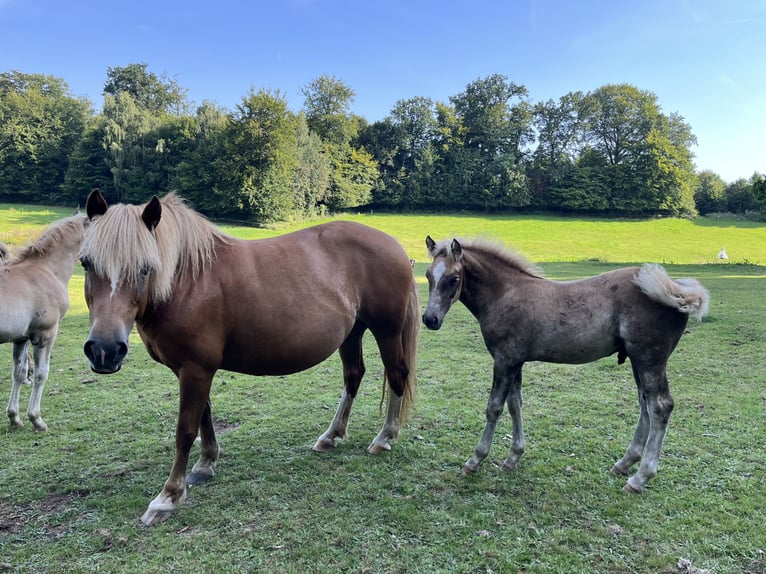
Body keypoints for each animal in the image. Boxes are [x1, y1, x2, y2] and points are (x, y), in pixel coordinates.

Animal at [0, 212, 88, 432]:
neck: (47, 270)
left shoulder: (21, 337)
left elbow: (20, 373)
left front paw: (14, 417)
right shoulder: (45, 334)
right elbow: (41, 374)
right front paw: (36, 419)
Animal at [81, 190, 420, 528]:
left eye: (145, 267)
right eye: (86, 263)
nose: (104, 350)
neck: (188, 280)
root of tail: (394, 246)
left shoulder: (195, 369)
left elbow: (185, 429)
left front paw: (168, 497)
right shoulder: (193, 369)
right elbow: (204, 415)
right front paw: (205, 465)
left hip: (387, 332)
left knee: (396, 375)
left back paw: (384, 437)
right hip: (352, 333)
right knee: (354, 376)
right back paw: (331, 436)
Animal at [424, 237, 712, 496]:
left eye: (454, 278)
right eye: (427, 275)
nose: (430, 319)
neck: (505, 293)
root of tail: (676, 291)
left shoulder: (504, 360)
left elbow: (494, 408)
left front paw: (475, 460)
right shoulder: (515, 361)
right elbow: (515, 405)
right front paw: (513, 458)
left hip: (649, 360)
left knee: (660, 406)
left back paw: (639, 478)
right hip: (637, 360)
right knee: (645, 404)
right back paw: (623, 464)